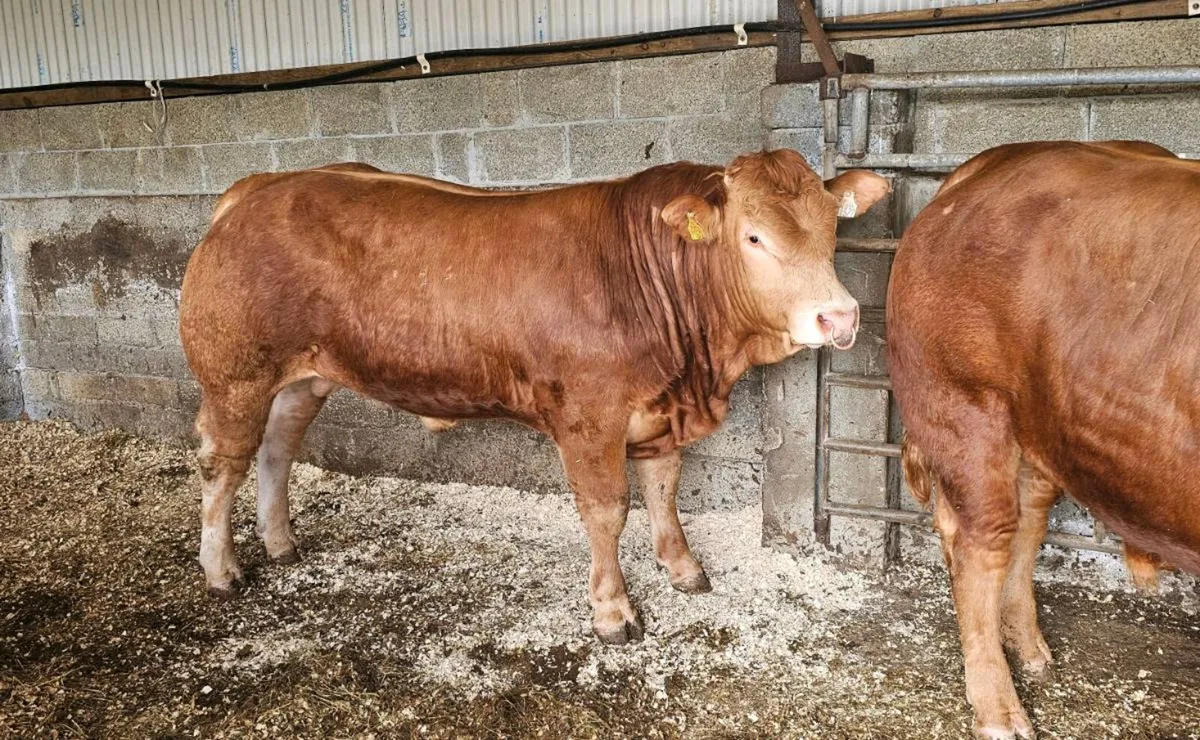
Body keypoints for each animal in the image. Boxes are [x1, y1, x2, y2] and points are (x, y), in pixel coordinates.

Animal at [179, 149, 889, 644]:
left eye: (831, 231)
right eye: (753, 237)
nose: (840, 317)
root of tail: (258, 187)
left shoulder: (659, 411)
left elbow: (664, 489)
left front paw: (683, 569)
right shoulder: (588, 418)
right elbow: (607, 510)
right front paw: (613, 613)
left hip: (304, 377)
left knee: (277, 450)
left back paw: (281, 542)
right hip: (234, 375)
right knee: (223, 461)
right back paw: (221, 570)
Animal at [888, 140, 1200, 739]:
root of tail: (988, 164)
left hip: (1040, 427)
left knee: (1028, 525)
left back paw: (1030, 650)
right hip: (965, 405)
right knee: (982, 540)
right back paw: (1000, 712)